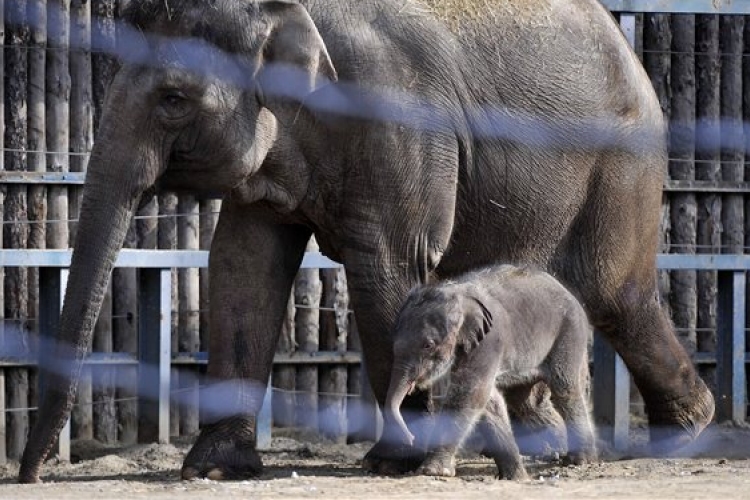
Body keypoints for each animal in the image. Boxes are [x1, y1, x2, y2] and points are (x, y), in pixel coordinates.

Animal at [388, 266, 600, 480]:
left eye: (428, 345)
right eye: (393, 344)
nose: (411, 438)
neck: (458, 295)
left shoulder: (488, 342)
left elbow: (471, 393)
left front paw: (432, 471)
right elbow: (488, 401)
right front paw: (515, 477)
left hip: (569, 332)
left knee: (565, 387)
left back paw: (579, 460)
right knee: (525, 400)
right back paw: (556, 452)